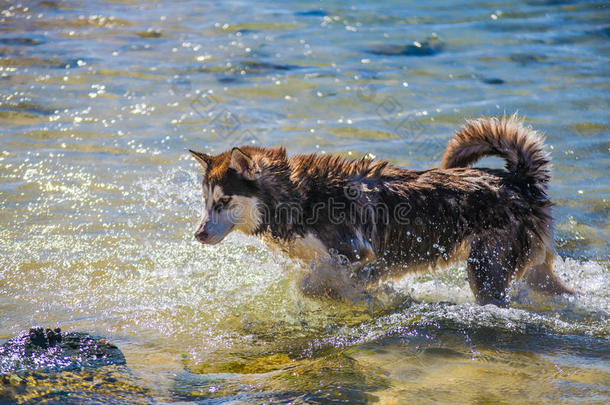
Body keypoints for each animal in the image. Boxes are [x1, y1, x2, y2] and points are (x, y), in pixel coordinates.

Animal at [190, 115, 576, 304]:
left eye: (223, 201)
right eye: (206, 202)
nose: (198, 234)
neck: (299, 196)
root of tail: (520, 181)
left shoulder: (356, 254)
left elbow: (312, 283)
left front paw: (358, 296)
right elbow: (312, 280)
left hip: (486, 269)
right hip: (532, 271)